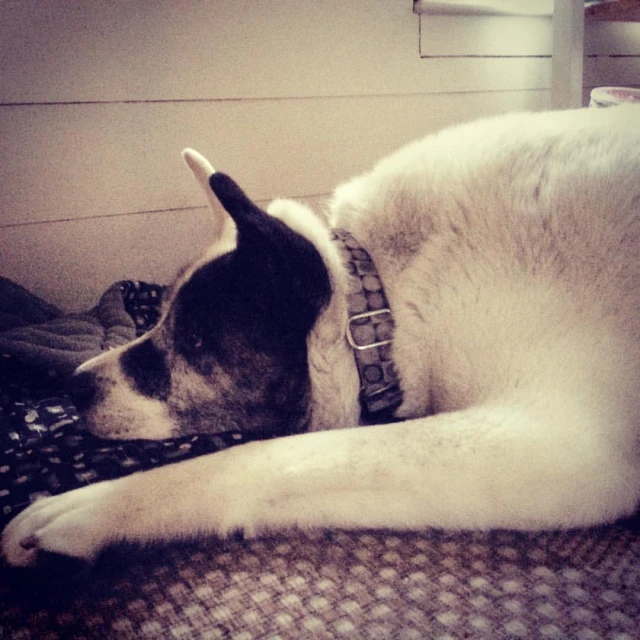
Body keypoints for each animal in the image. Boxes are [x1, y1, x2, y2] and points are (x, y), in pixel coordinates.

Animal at [1, 106, 640, 568]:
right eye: (157, 317)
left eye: (199, 342)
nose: (74, 387)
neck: (383, 298)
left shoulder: (545, 442)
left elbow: (262, 458)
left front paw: (84, 510)